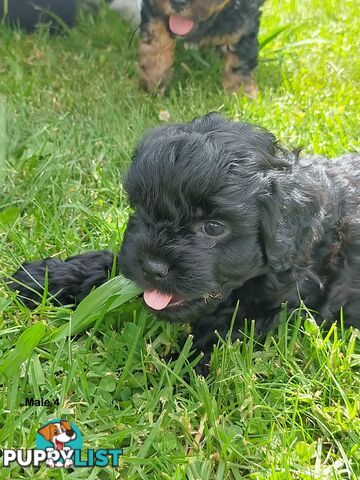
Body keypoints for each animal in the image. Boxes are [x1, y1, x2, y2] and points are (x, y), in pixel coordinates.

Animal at [9, 113, 360, 376]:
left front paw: (174, 370)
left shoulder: (284, 303)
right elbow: (112, 266)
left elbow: (225, 330)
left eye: (214, 227)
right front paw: (46, 278)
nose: (152, 267)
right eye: (142, 209)